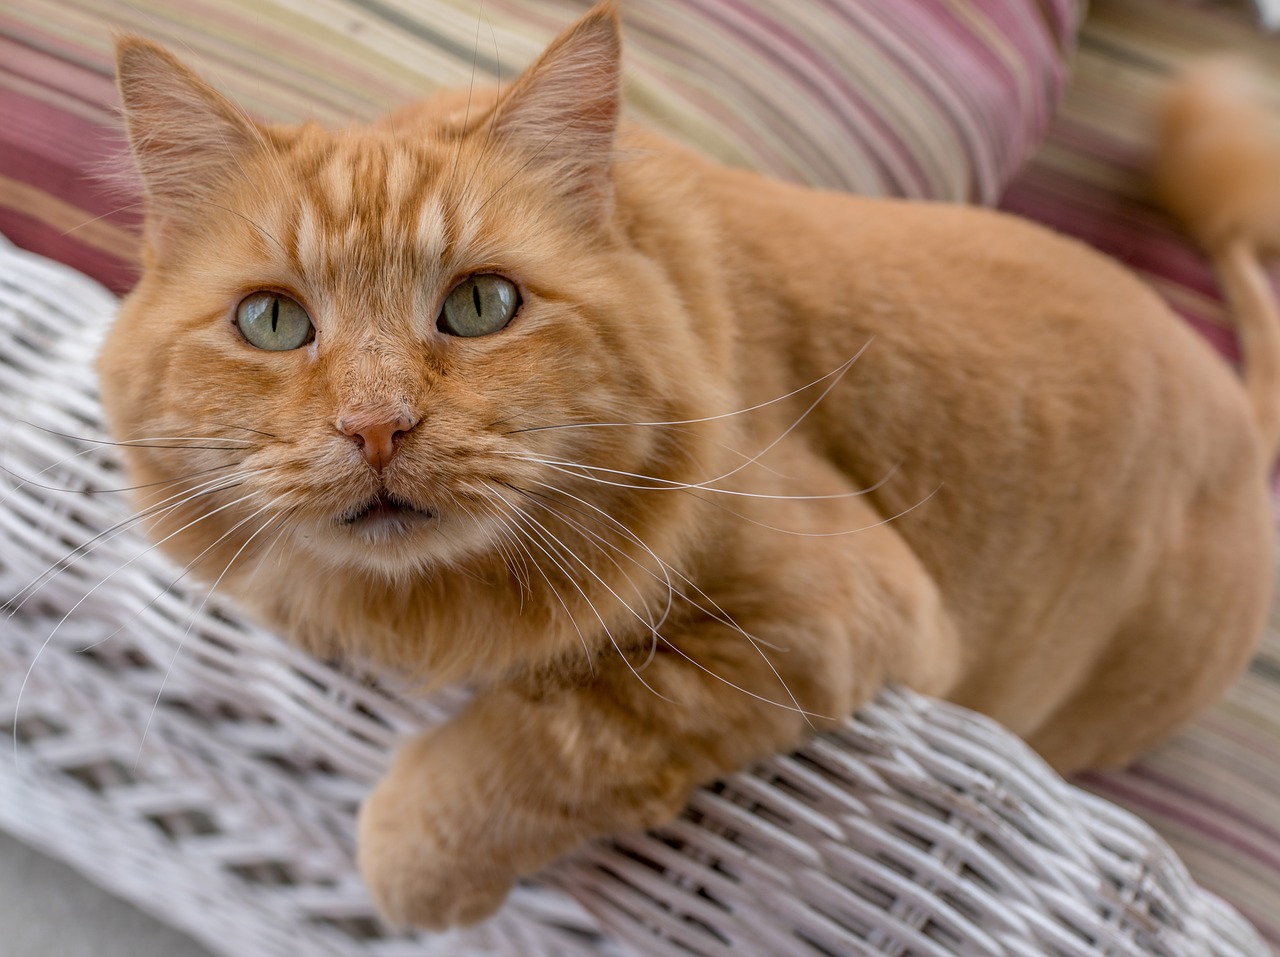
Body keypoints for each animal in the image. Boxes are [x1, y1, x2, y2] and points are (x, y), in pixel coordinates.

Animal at [102, 0, 1280, 926]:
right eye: (271, 322)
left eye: (480, 305)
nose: (377, 427)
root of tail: (1234, 403)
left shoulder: (821, 621)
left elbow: (548, 739)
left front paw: (406, 857)